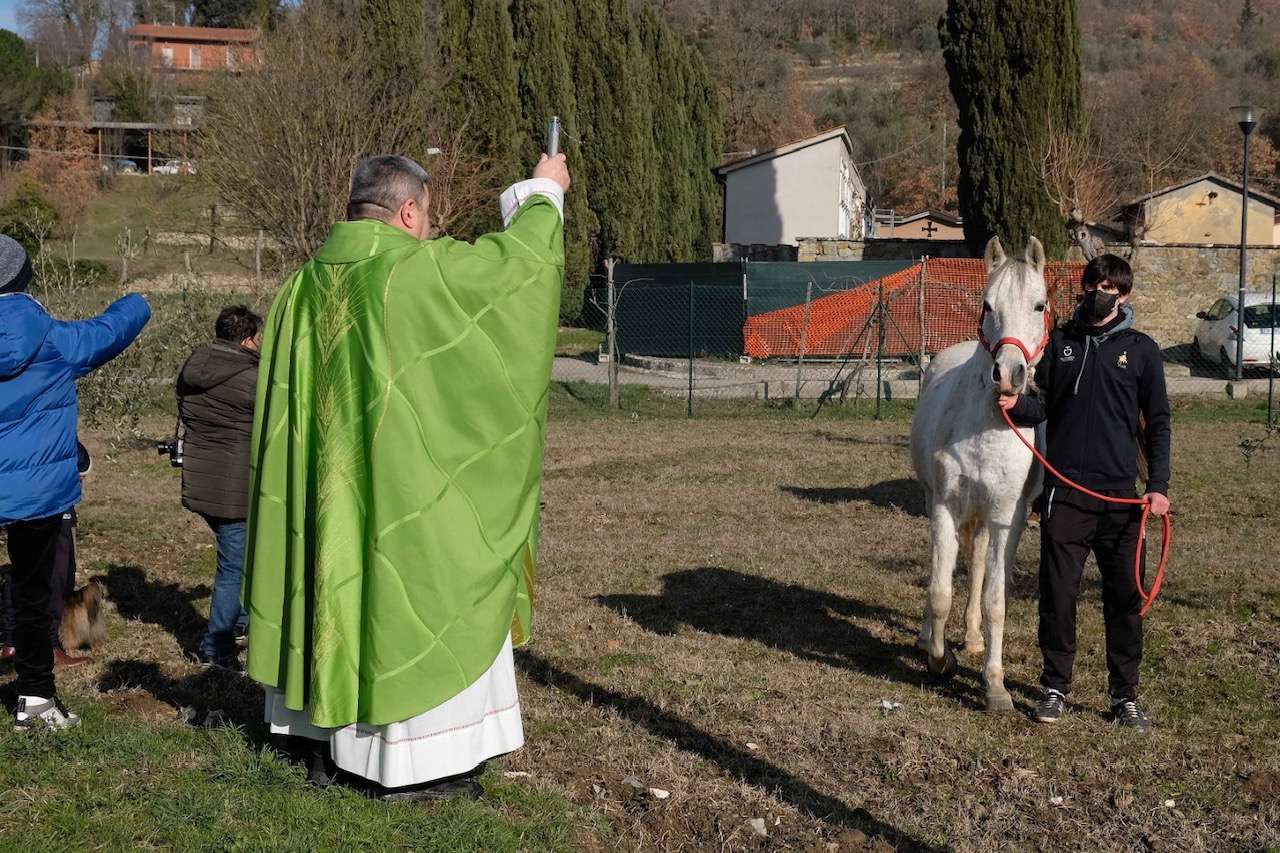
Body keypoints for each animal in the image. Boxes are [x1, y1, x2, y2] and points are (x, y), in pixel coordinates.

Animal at [906, 234, 1044, 712]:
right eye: (987, 305)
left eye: (1040, 305)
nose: (1008, 375)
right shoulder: (944, 505)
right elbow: (939, 589)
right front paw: (939, 659)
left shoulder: (1006, 517)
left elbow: (994, 599)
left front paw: (995, 686)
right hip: (936, 500)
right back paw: (932, 637)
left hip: (989, 519)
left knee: (980, 567)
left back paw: (972, 637)